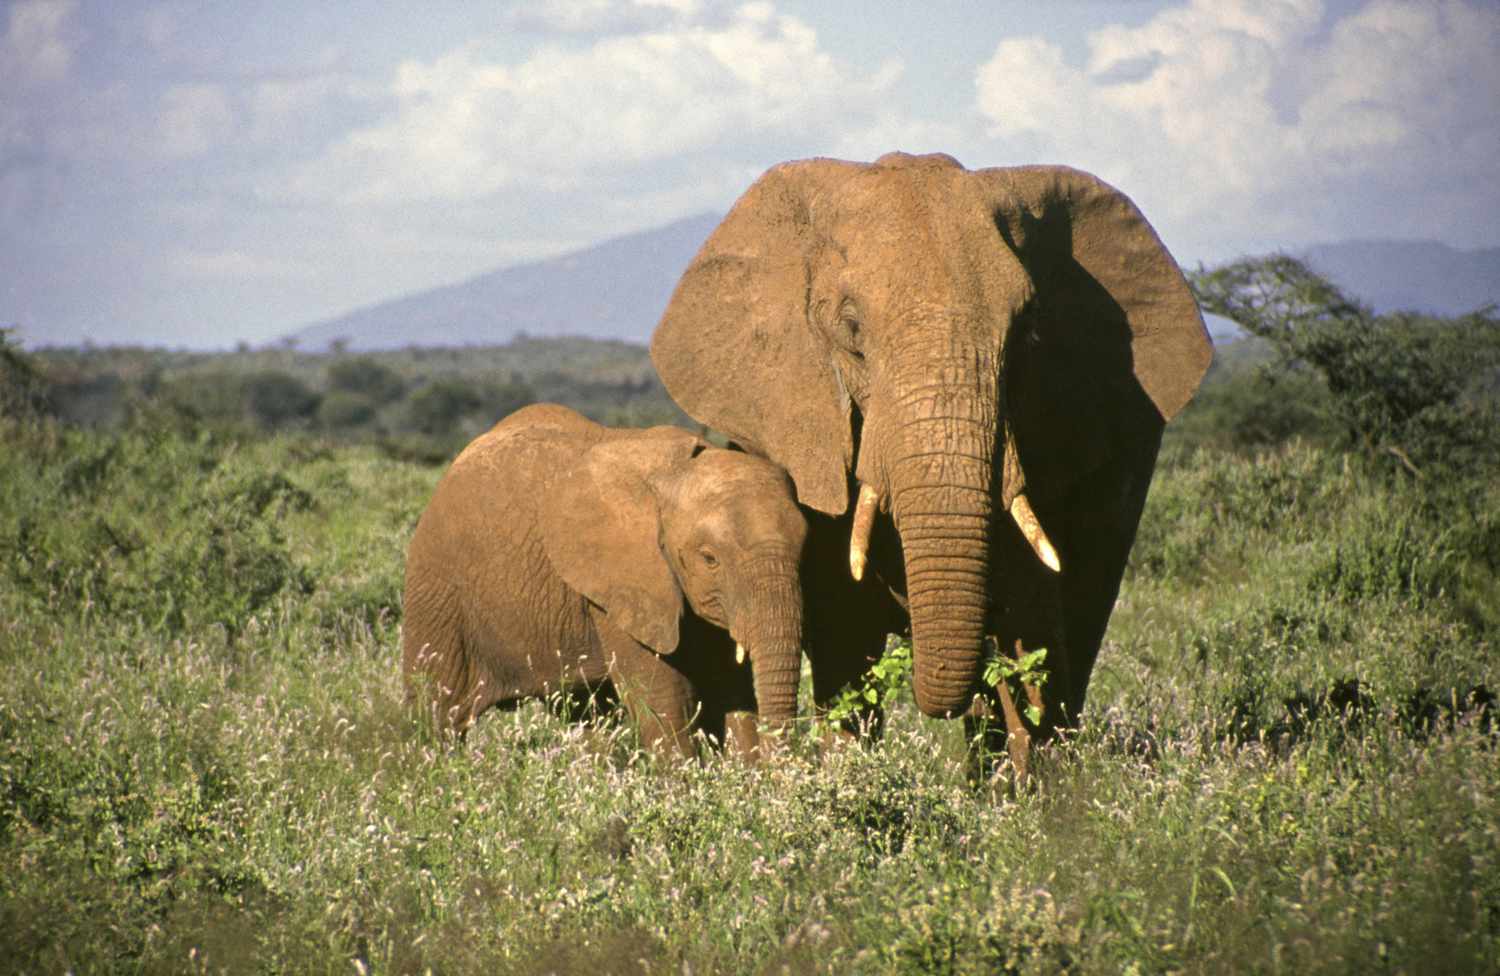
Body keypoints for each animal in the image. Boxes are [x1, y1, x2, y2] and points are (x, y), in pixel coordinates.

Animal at [401, 403, 807, 760]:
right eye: (710, 559)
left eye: (805, 548)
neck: (675, 474)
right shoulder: (622, 581)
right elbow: (662, 696)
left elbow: (731, 687)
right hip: (437, 591)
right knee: (436, 712)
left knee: (588, 714)